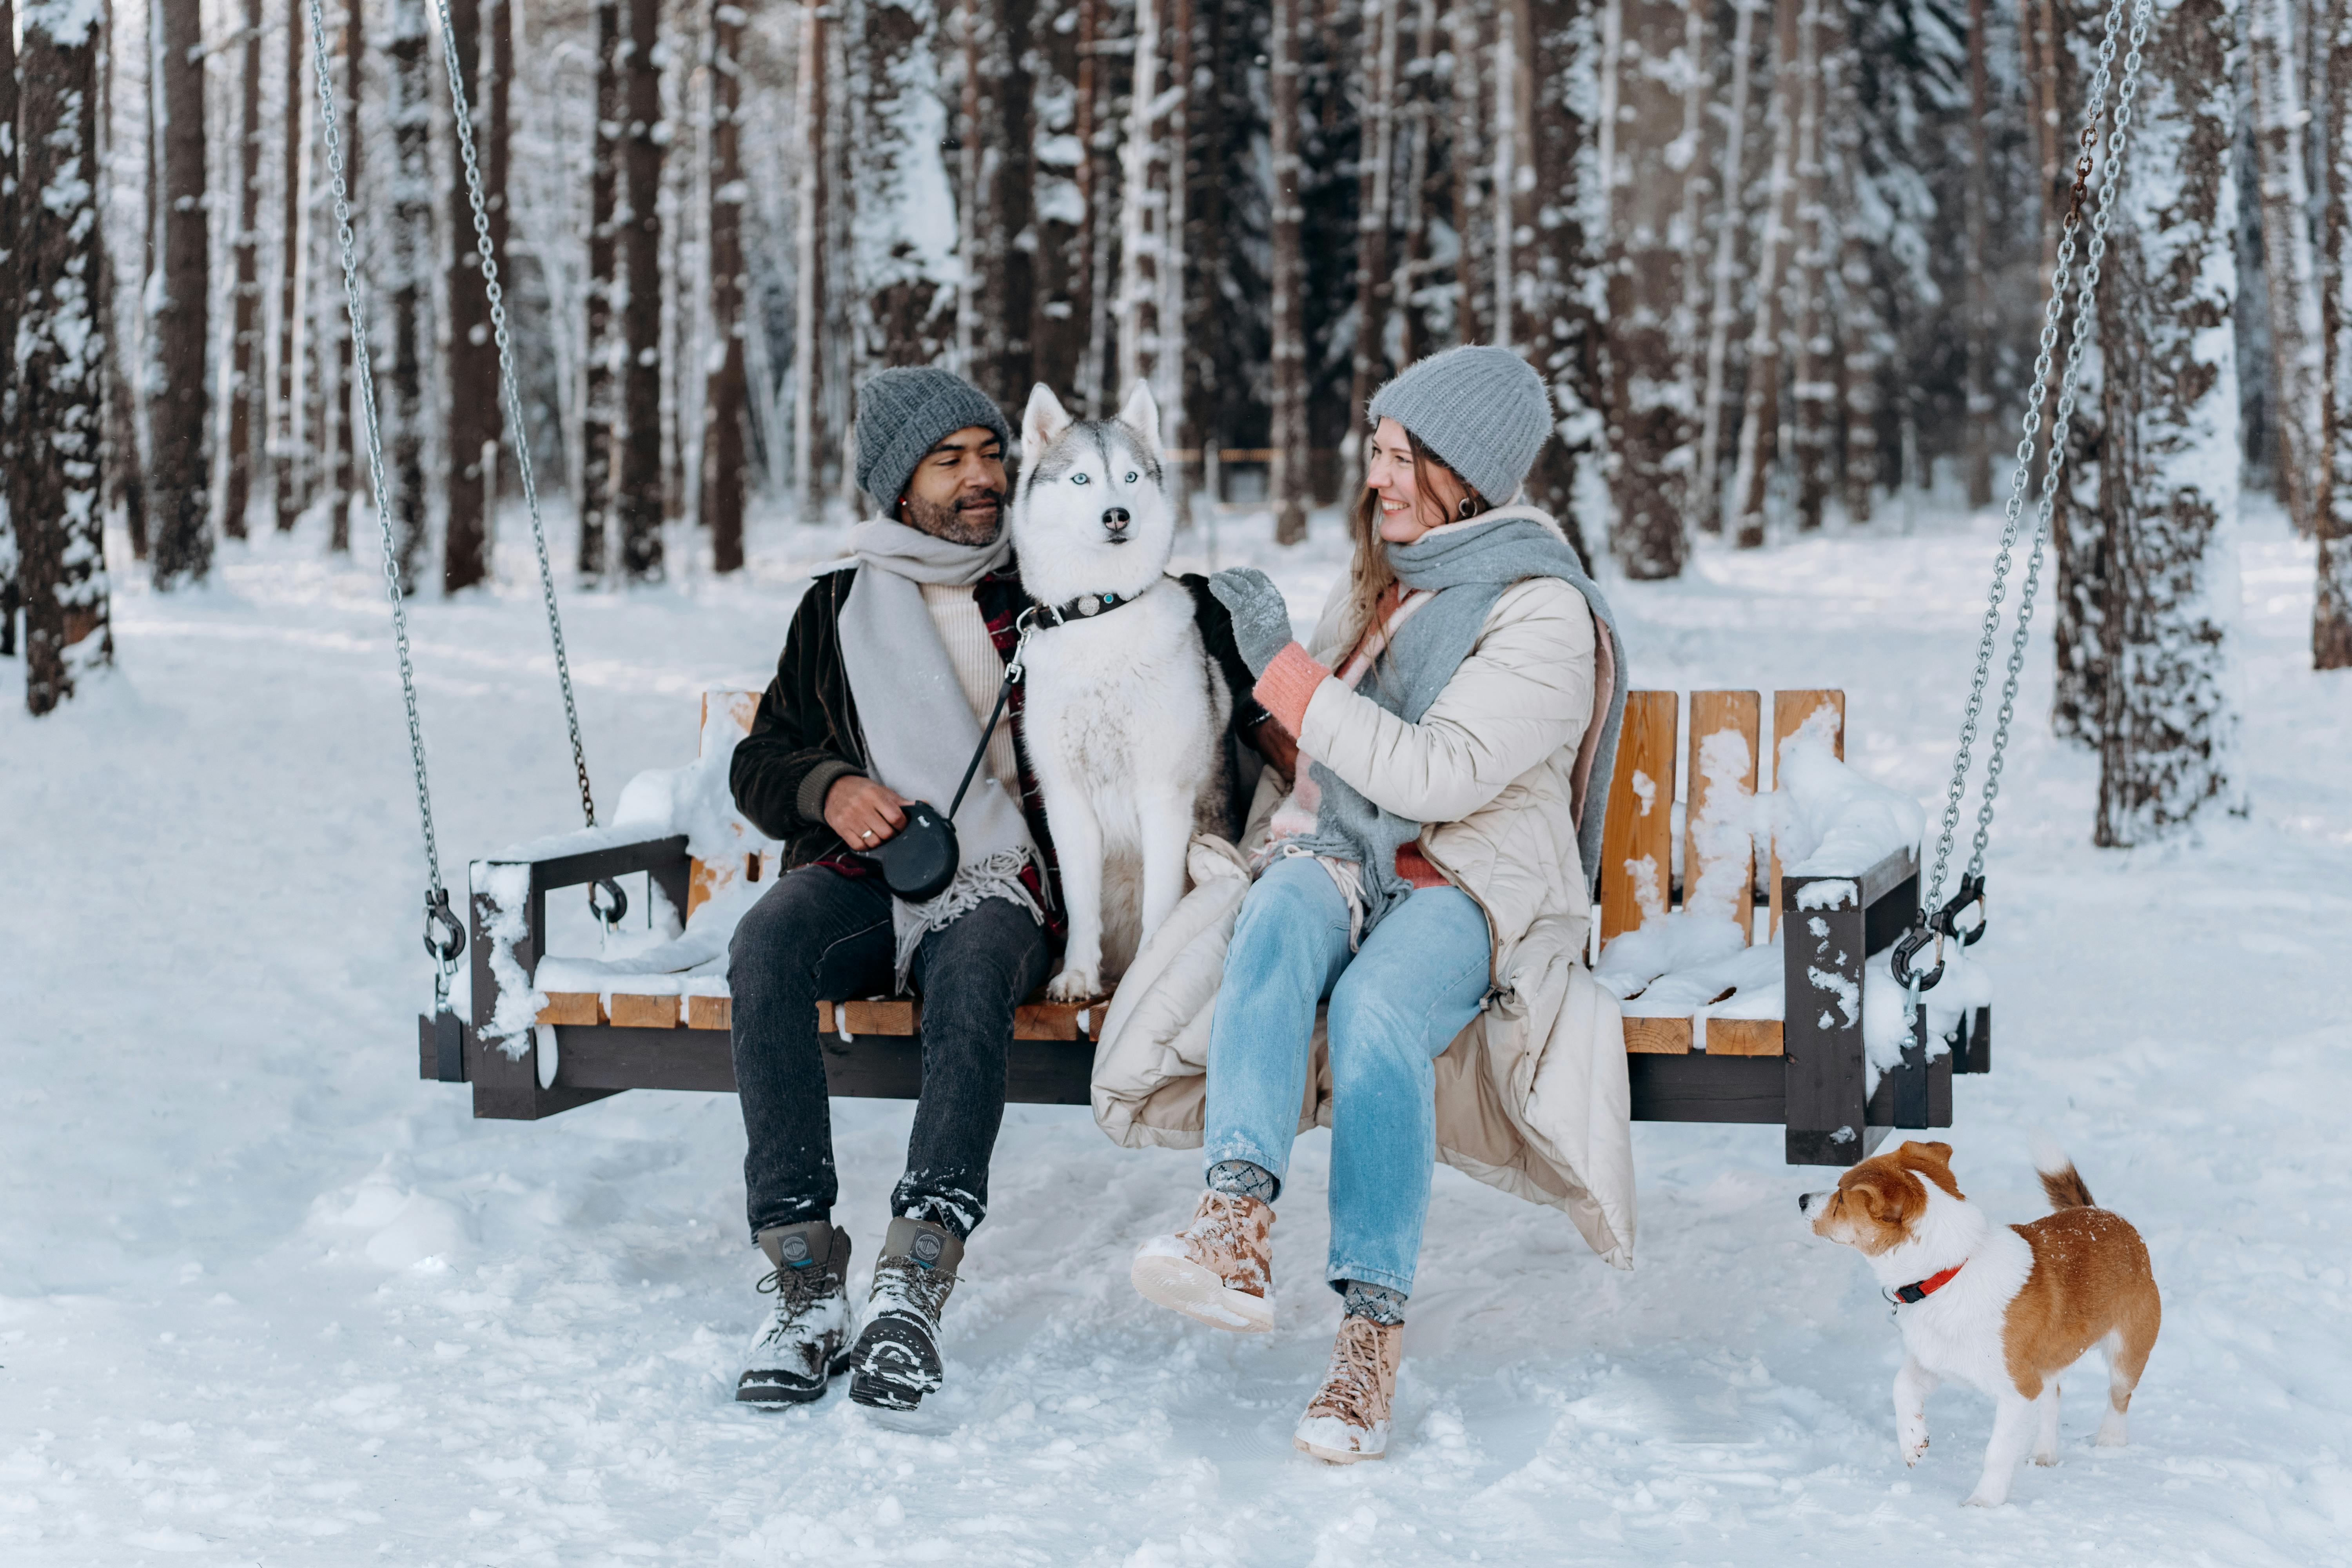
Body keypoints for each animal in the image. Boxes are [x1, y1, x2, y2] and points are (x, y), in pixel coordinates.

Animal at [1797, 1142, 2164, 1504]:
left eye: (1841, 1197)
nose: (1801, 1199)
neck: (1949, 1273)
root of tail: (2101, 1213)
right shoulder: (1936, 1361)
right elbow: (1901, 1387)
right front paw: (1913, 1441)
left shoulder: (2019, 1392)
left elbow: (1998, 1453)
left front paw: (1983, 1504)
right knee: (2053, 1394)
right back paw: (2045, 1453)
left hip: (2128, 1353)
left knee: (2118, 1398)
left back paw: (2110, 1444)